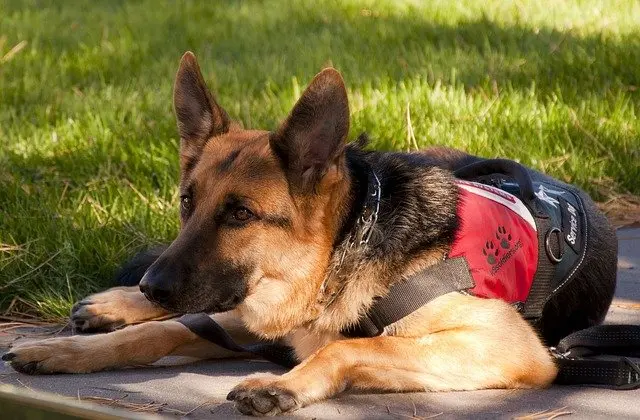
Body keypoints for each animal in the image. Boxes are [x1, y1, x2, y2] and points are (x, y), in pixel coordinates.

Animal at [2, 50, 616, 416]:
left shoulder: (507, 346)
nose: (153, 286)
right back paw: (111, 305)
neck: (351, 241)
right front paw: (68, 349)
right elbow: (162, 331)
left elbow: (349, 346)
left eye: (240, 214)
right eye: (186, 203)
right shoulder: (266, 313)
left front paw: (285, 383)